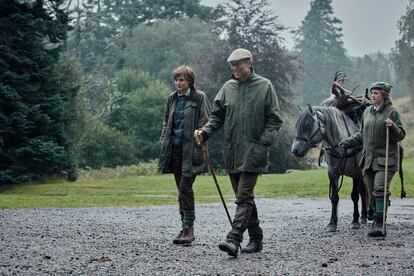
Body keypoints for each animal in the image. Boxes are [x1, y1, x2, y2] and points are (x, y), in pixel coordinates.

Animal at [292, 104, 368, 232]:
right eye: (297, 126)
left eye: (307, 126)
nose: (295, 150)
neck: (343, 148)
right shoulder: (333, 174)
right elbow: (334, 198)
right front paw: (332, 223)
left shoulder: (356, 174)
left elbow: (355, 196)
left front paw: (355, 221)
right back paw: (363, 217)